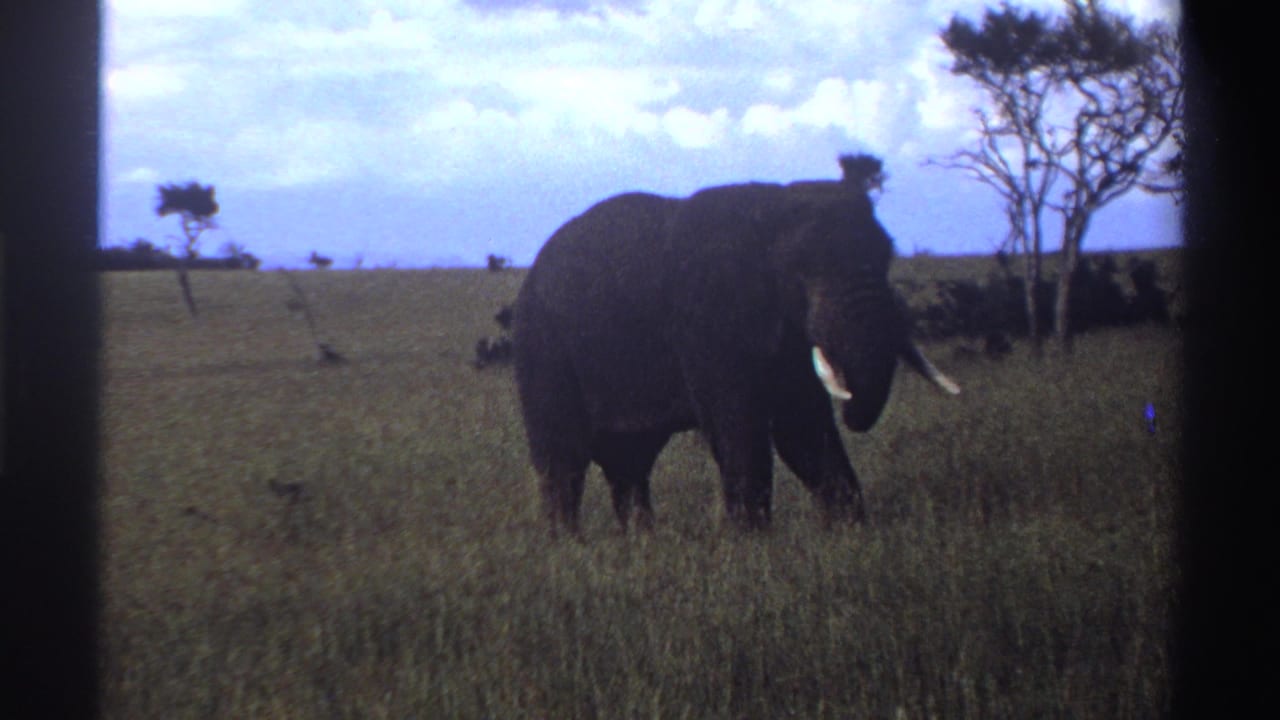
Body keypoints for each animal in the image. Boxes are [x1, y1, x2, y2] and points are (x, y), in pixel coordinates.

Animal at [513, 155, 959, 535]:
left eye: (888, 256)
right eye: (802, 272)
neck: (772, 209)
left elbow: (802, 429)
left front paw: (850, 535)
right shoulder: (708, 317)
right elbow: (740, 425)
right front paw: (750, 545)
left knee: (629, 461)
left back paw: (641, 543)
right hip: (542, 343)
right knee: (564, 457)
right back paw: (568, 546)